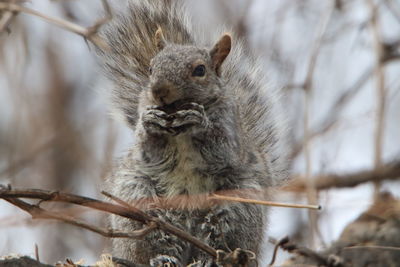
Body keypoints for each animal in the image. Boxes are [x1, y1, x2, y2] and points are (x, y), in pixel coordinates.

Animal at [97, 0, 288, 266]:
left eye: (200, 70)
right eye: (150, 68)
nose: (159, 90)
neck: (179, 130)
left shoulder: (231, 134)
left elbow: (222, 151)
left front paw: (200, 122)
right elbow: (148, 152)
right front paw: (150, 123)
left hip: (237, 208)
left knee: (218, 242)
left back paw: (208, 259)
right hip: (139, 201)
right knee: (152, 244)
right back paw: (162, 258)